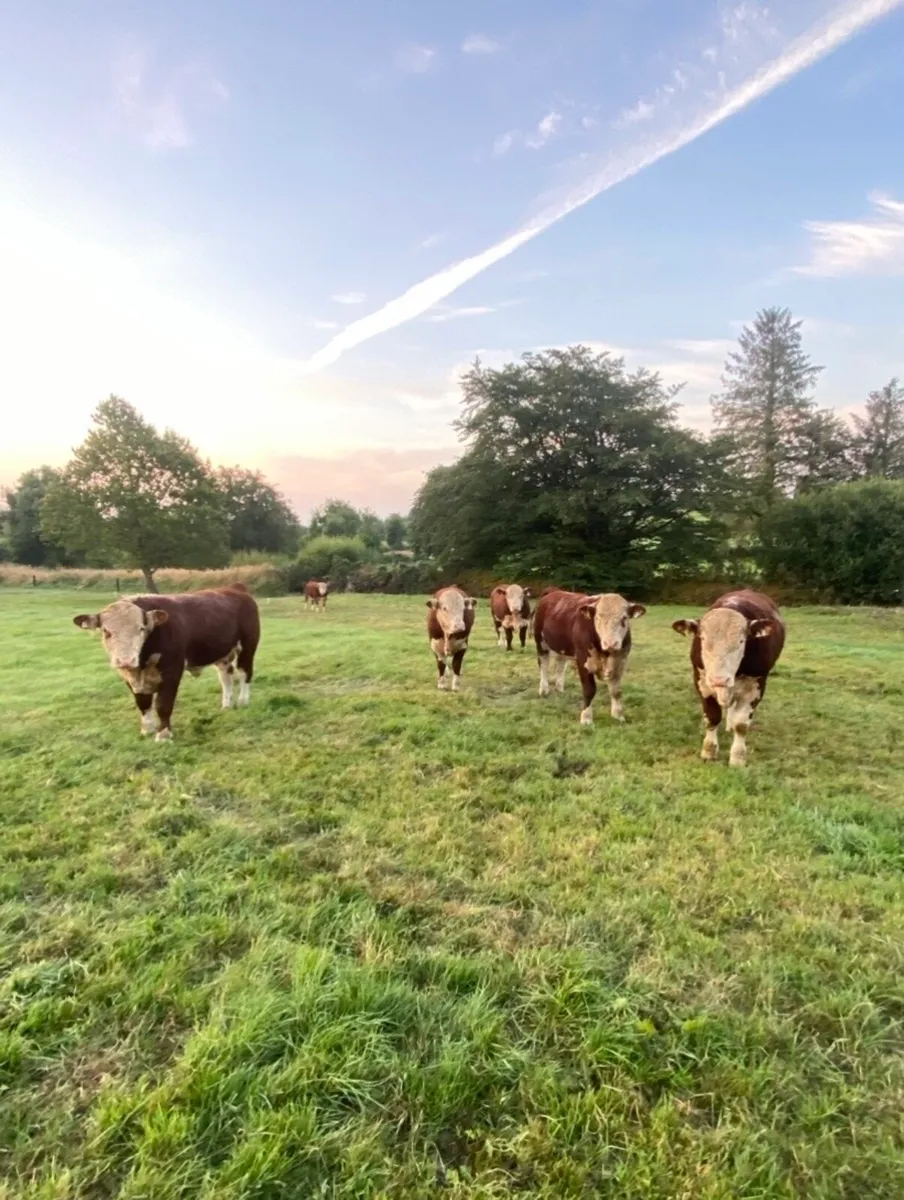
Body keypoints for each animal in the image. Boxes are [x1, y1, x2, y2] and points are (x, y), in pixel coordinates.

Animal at [72, 585, 260, 742]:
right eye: (106, 631)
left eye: (141, 628)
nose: (125, 660)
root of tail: (234, 588)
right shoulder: (129, 677)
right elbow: (142, 703)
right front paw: (147, 729)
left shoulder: (172, 672)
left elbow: (163, 705)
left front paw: (163, 735)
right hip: (221, 654)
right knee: (226, 677)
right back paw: (226, 704)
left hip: (248, 646)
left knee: (244, 673)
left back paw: (242, 701)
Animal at [533, 589, 646, 725]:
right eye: (598, 617)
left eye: (624, 618)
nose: (611, 643)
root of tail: (554, 591)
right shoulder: (583, 660)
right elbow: (589, 689)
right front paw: (586, 718)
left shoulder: (620, 661)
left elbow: (616, 691)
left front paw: (618, 715)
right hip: (541, 642)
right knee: (543, 665)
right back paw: (544, 690)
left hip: (562, 647)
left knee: (560, 665)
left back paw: (559, 688)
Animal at [671, 589, 785, 767]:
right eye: (702, 639)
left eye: (741, 641)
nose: (719, 680)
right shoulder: (702, 682)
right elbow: (712, 718)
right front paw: (709, 751)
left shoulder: (756, 686)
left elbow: (741, 724)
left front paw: (738, 757)